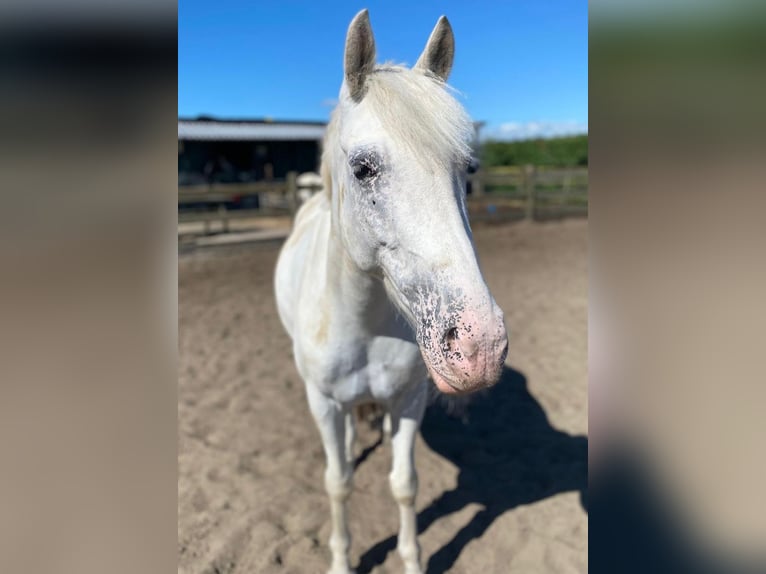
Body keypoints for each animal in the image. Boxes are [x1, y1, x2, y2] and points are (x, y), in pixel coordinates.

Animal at [276, 10, 510, 574]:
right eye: (363, 168)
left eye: (468, 170)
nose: (479, 346)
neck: (363, 325)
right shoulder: (323, 403)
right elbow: (338, 483)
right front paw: (342, 560)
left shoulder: (410, 400)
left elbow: (405, 485)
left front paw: (412, 559)